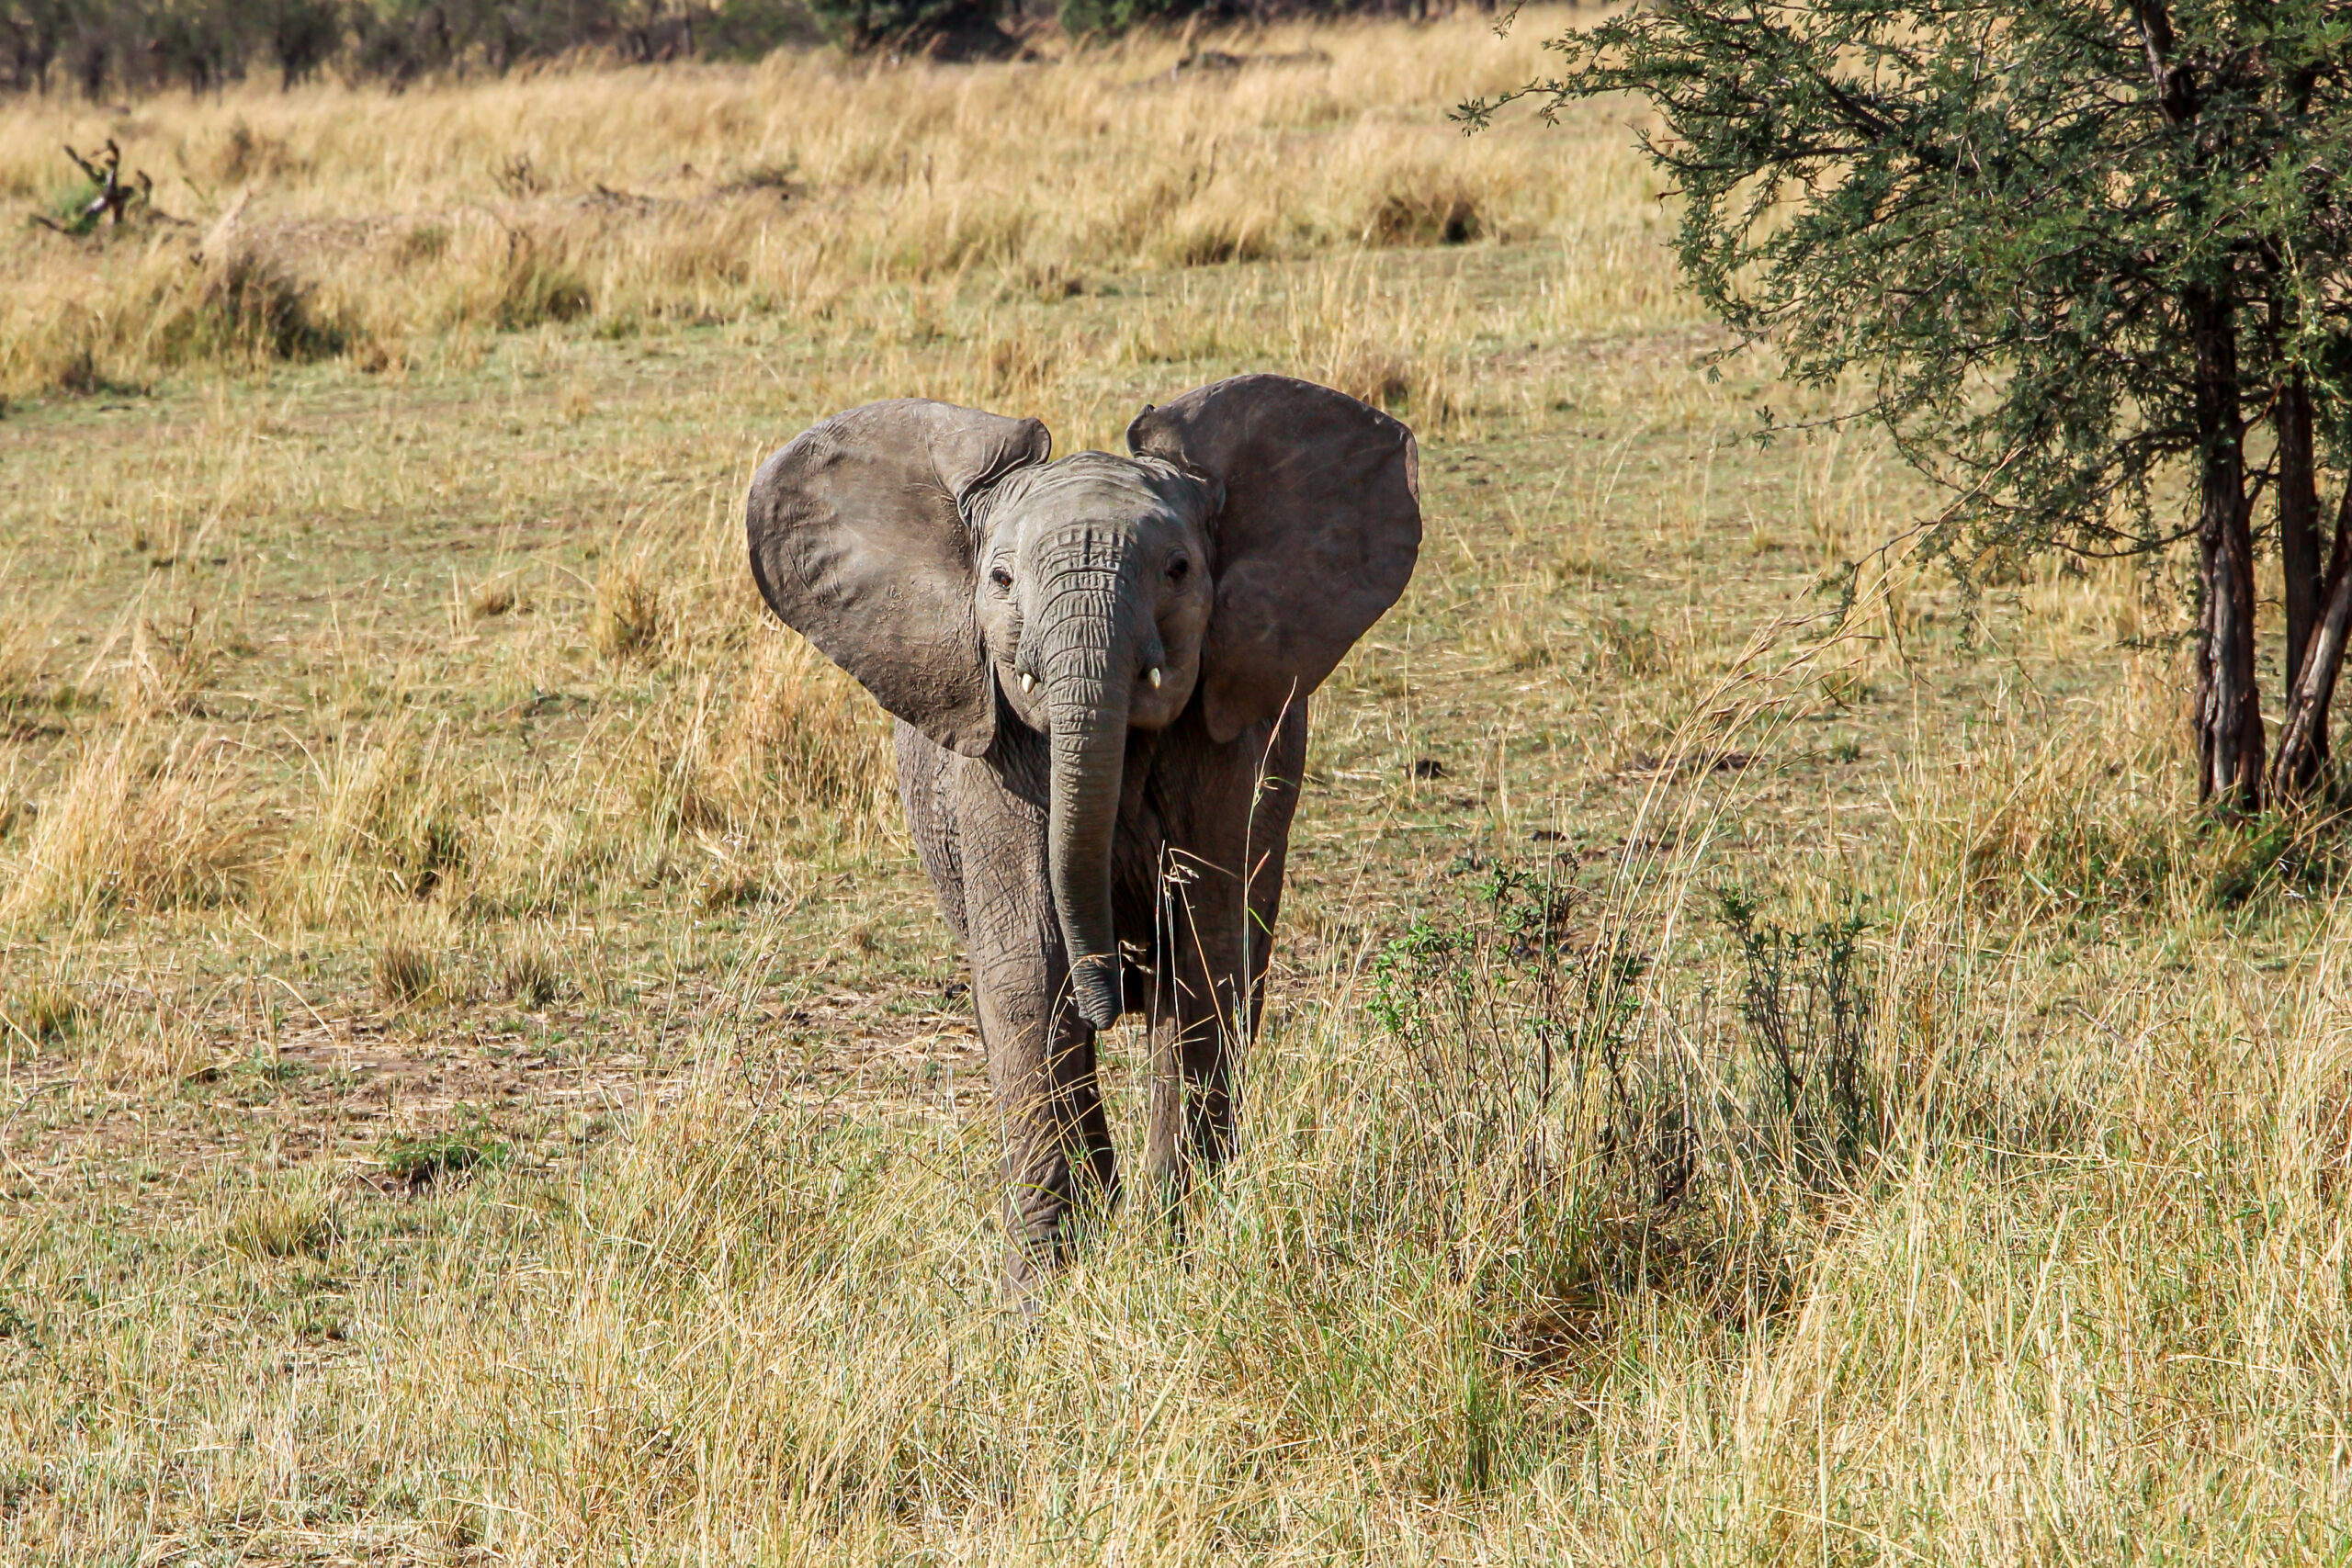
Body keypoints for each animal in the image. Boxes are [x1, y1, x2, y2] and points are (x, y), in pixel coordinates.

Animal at [752, 373, 1411, 1297]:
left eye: (1179, 570)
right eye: (999, 577)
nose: (1116, 983)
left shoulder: (1226, 744)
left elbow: (1204, 957)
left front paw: (1180, 1258)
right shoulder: (994, 758)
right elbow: (1029, 973)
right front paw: (1043, 1293)